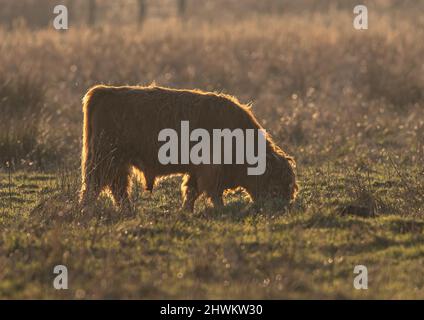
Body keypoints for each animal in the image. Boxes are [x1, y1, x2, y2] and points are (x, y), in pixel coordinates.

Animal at [79, 84, 298, 211]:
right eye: (277, 182)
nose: (283, 205)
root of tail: (103, 91)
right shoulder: (211, 170)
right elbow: (212, 191)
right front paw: (220, 209)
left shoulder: (197, 170)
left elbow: (192, 190)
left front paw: (187, 210)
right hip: (105, 159)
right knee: (98, 186)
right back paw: (89, 209)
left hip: (115, 162)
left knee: (116, 187)